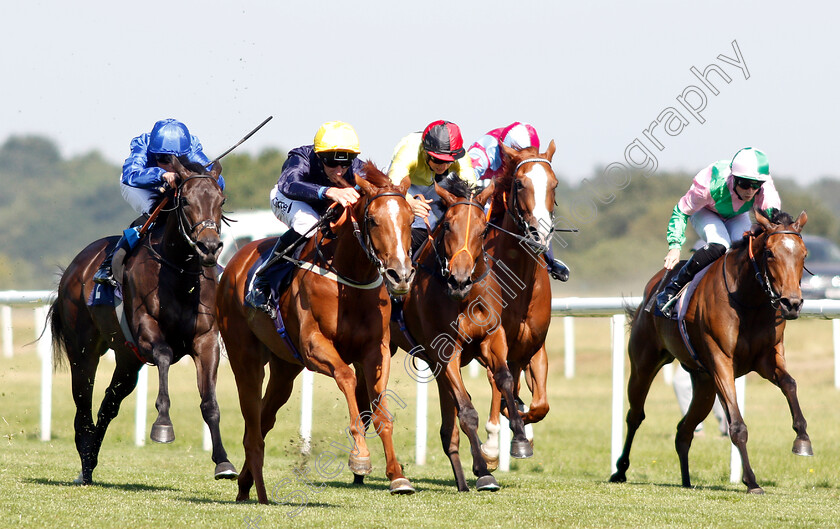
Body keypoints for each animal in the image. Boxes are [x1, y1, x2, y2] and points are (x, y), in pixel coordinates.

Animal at [49, 156, 236, 482]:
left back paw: (90, 459)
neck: (180, 274)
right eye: (185, 200)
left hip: (127, 359)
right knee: (83, 402)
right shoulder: (147, 330)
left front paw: (223, 462)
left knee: (108, 404)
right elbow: (163, 356)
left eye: (221, 200)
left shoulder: (206, 339)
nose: (209, 248)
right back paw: (84, 463)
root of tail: (72, 269)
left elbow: (210, 402)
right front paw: (163, 425)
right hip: (82, 351)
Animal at [215, 164, 416, 504]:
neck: (349, 279)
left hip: (285, 367)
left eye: (410, 219)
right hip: (245, 359)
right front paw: (360, 456)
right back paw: (259, 491)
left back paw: (245, 483)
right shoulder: (313, 346)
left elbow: (380, 410)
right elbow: (347, 378)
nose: (400, 276)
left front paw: (397, 476)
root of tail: (233, 263)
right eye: (373, 220)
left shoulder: (376, 349)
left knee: (265, 418)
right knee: (252, 424)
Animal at [388, 176, 532, 490]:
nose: (460, 279)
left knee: (447, 429)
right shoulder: (446, 353)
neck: (465, 299)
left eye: (483, 229)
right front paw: (484, 469)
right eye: (448, 226)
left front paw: (520, 437)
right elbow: (466, 410)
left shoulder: (492, 337)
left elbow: (504, 379)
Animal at [612, 208, 812, 492]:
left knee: (683, 429)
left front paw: (802, 439)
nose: (791, 303)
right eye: (770, 253)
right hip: (644, 364)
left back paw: (686, 480)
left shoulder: (767, 359)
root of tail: (652, 287)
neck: (748, 300)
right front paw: (751, 481)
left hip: (704, 384)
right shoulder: (721, 362)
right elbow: (737, 425)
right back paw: (620, 470)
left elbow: (790, 384)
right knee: (635, 415)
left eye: (804, 254)